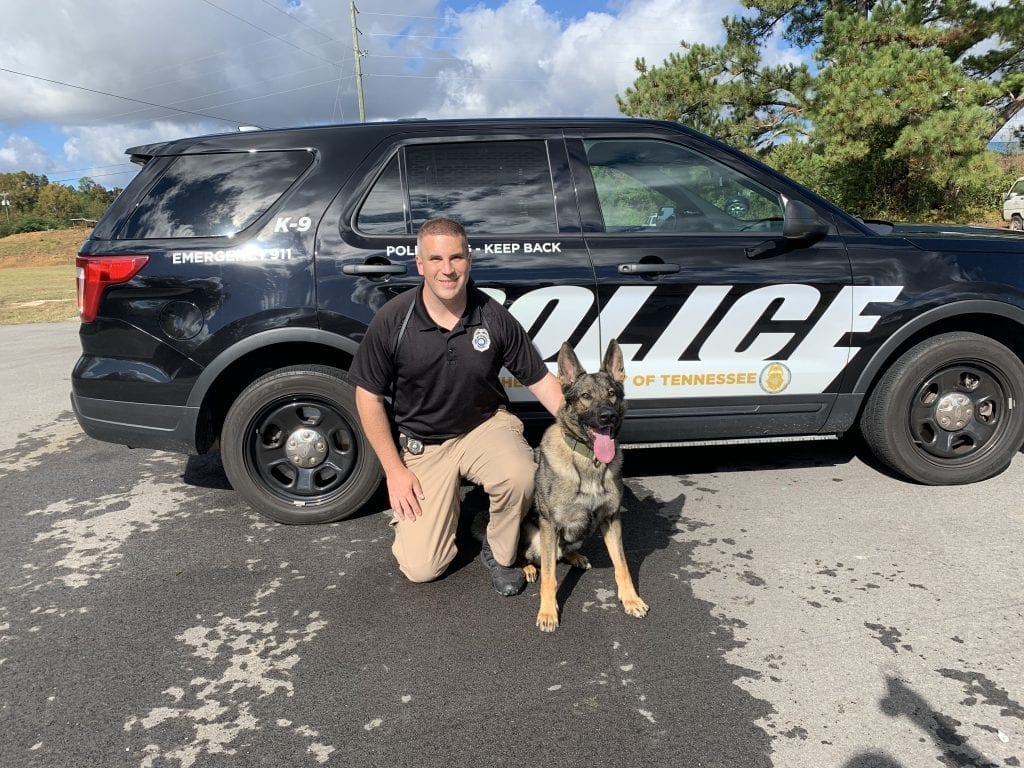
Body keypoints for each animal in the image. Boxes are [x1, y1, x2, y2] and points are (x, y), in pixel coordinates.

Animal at [520, 339, 647, 634]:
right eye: (586, 396)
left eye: (612, 394)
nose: (607, 416)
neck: (590, 461)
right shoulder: (550, 524)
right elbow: (550, 578)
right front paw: (547, 612)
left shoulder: (611, 520)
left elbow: (622, 565)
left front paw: (631, 599)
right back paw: (528, 568)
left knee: (564, 551)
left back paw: (575, 556)